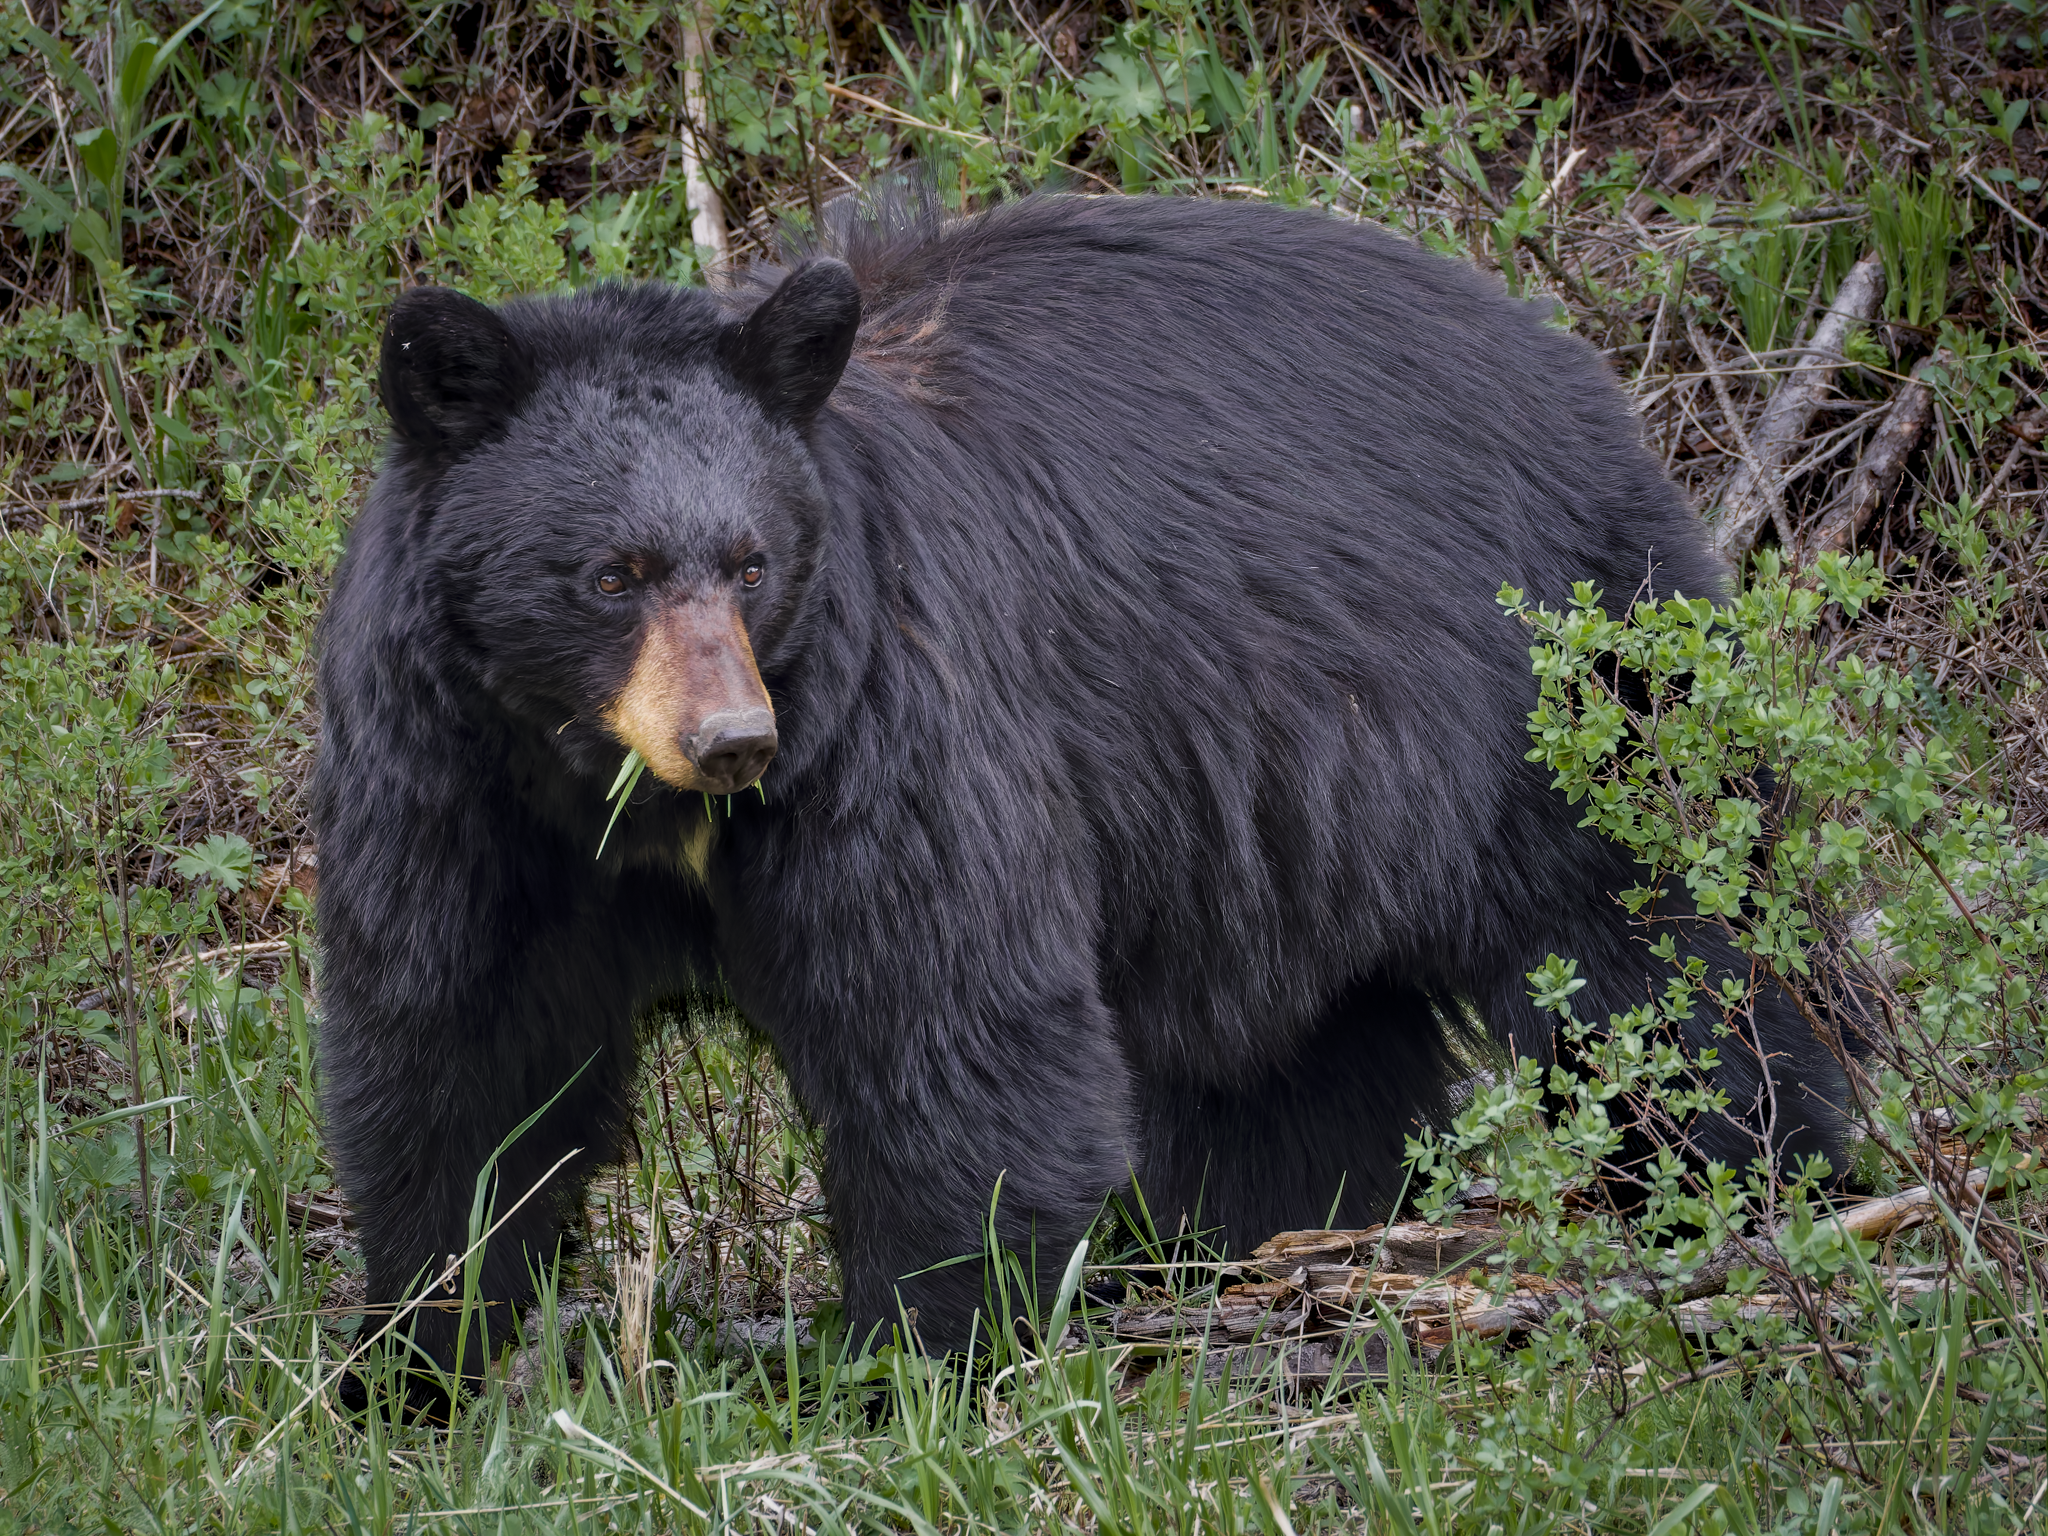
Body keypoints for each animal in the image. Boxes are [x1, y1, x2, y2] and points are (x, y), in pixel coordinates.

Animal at [312, 190, 1847, 1390]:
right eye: (611, 574)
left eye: (751, 561)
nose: (734, 736)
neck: (616, 794)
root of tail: (1568, 356)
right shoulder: (456, 785)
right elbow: (463, 1048)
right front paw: (413, 1359)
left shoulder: (887, 725)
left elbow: (948, 1023)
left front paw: (920, 1367)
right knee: (1292, 1059)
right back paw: (1282, 1240)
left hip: (1569, 671)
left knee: (1659, 948)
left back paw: (1755, 1182)